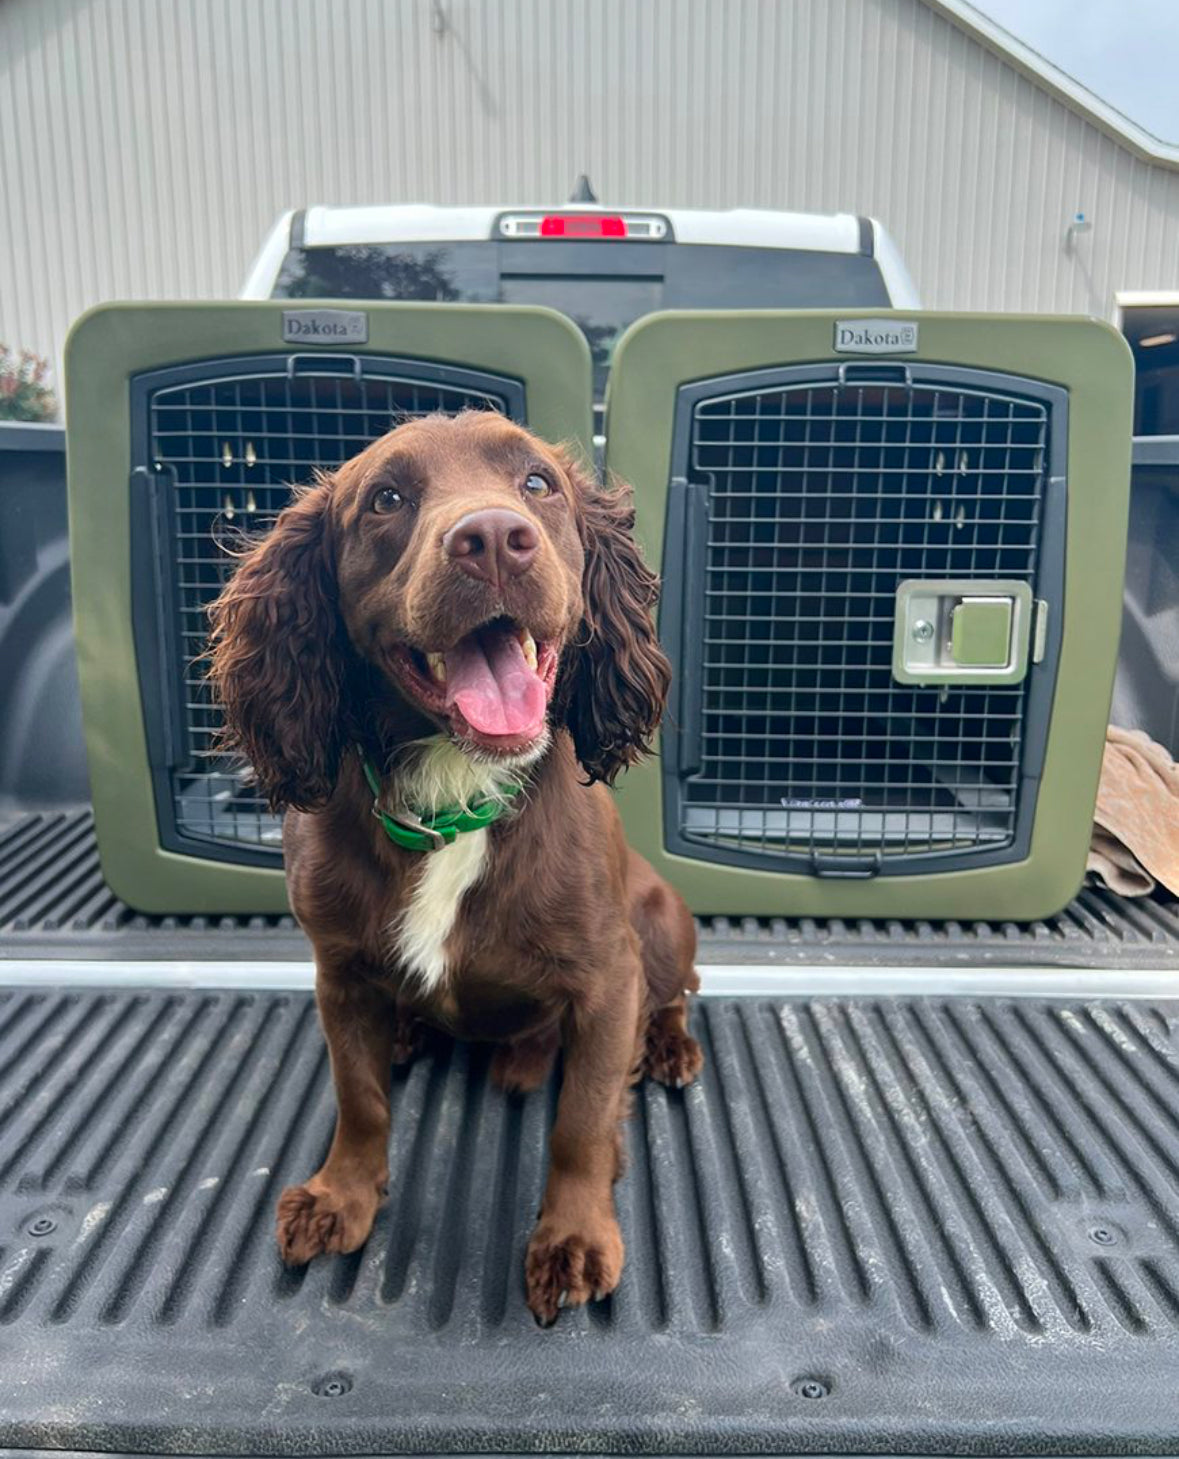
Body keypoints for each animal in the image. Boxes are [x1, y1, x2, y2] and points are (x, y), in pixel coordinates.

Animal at [205, 408, 700, 1324]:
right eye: (385, 499)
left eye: (537, 483)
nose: (494, 540)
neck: (452, 787)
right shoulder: (337, 969)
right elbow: (359, 1097)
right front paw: (341, 1194)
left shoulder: (606, 978)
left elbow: (582, 1120)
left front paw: (573, 1237)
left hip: (662, 915)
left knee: (678, 991)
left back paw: (665, 1048)